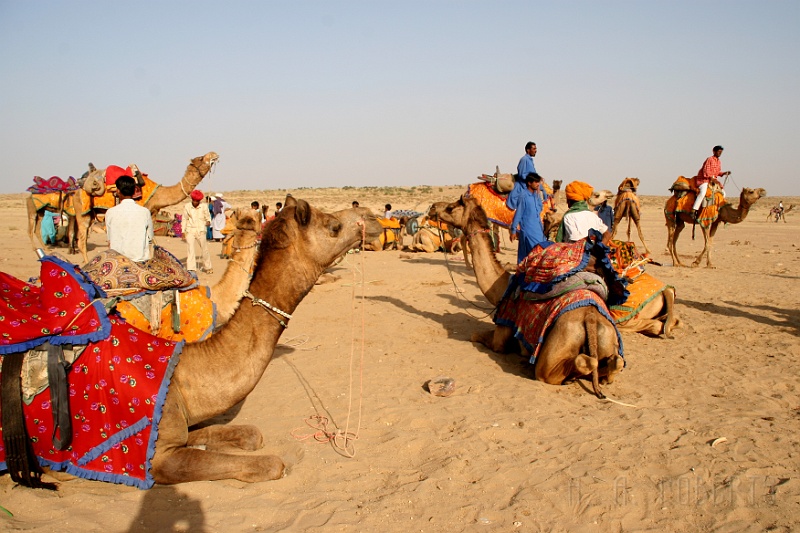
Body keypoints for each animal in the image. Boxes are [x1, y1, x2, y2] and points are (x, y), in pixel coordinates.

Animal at [429, 196, 624, 397]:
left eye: (451, 207)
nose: (432, 208)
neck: (504, 288)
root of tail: (590, 318)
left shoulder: (501, 337)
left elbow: (476, 335)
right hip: (608, 337)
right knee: (615, 363)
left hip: (558, 346)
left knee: (568, 367)